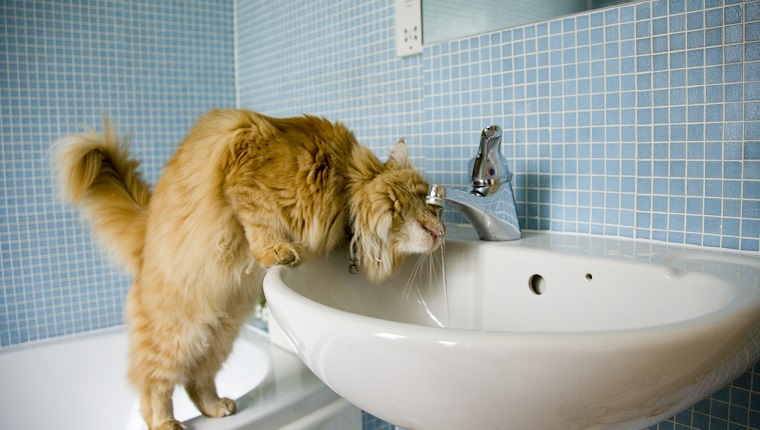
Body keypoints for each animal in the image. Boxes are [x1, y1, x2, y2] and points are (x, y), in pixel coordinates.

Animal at [56, 110, 442, 430]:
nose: (441, 230)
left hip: (219, 334)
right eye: (425, 200)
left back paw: (217, 408)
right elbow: (259, 220)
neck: (344, 183)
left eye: (436, 207)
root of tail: (146, 236)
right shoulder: (245, 161)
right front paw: (276, 251)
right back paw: (166, 423)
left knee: (197, 381)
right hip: (176, 334)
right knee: (152, 386)